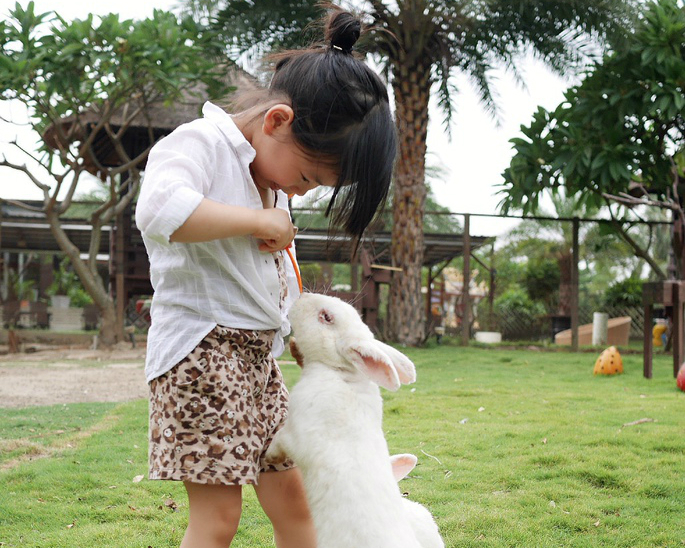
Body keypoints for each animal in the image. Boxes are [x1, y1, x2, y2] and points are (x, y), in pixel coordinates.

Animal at [266, 294, 416, 548]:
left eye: (326, 317)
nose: (302, 296)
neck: (338, 372)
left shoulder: (293, 434)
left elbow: (278, 443)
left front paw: (267, 457)